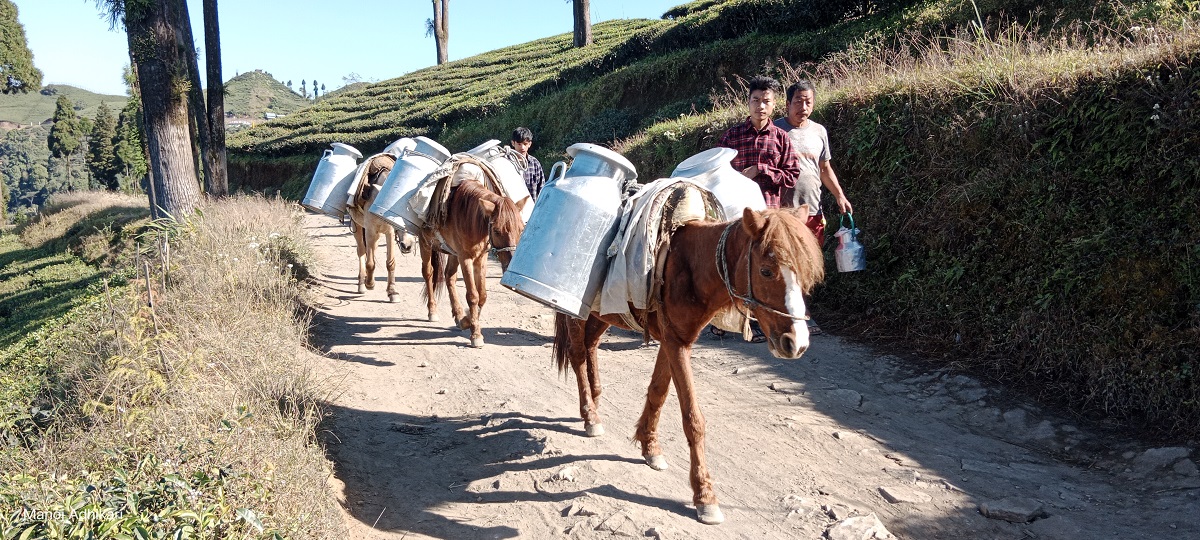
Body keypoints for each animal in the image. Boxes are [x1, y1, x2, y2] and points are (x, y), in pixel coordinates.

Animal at [417, 178, 525, 348]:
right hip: (425, 243)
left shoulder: (480, 259)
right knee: (428, 273)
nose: (509, 265)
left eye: (521, 229)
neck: (470, 218)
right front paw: (476, 334)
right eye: (496, 230)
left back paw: (458, 314)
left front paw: (467, 320)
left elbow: (482, 295)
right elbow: (473, 296)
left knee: (449, 276)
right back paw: (432, 310)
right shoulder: (465, 258)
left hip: (453, 253)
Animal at [552, 205, 825, 523]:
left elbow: (658, 392)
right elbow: (693, 420)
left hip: (603, 314)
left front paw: (650, 446)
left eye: (805, 274)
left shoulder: (675, 340)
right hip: (575, 312)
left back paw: (595, 402)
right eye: (766, 271)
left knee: (591, 345)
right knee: (577, 354)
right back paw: (590, 416)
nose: (797, 343)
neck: (691, 265)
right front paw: (705, 496)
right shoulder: (675, 343)